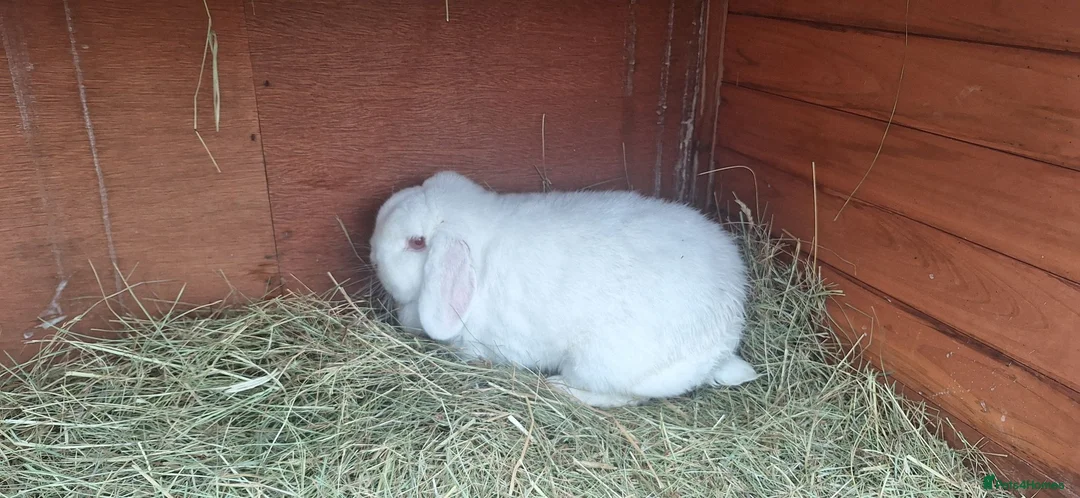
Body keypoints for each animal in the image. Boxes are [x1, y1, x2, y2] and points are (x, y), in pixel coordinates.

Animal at [368, 170, 759, 408]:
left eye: (416, 243)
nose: (372, 253)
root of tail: (722, 341)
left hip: (598, 362)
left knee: (621, 396)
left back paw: (558, 387)